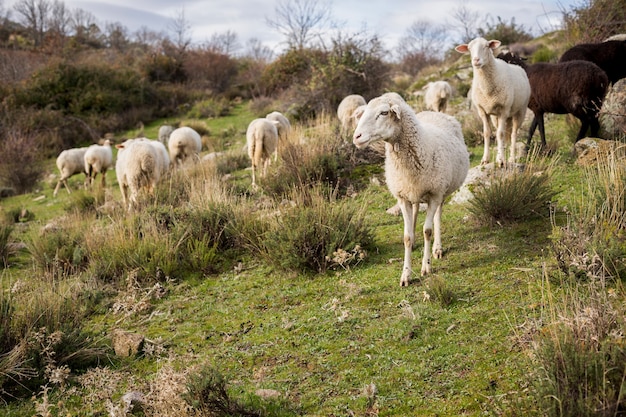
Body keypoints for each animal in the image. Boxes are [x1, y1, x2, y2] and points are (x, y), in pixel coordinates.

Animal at [352, 91, 468, 286]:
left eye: (384, 113)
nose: (357, 137)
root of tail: (433, 112)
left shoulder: (434, 194)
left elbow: (427, 230)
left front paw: (426, 267)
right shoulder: (402, 197)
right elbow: (406, 237)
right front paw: (405, 274)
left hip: (442, 191)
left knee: (437, 216)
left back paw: (437, 248)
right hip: (414, 193)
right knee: (415, 209)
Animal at [450, 37, 528, 167]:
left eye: (486, 46)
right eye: (469, 48)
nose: (476, 60)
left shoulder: (504, 110)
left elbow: (501, 134)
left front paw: (501, 160)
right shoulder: (482, 110)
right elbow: (487, 133)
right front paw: (485, 159)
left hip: (520, 111)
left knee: (513, 134)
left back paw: (511, 158)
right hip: (495, 117)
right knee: (501, 132)